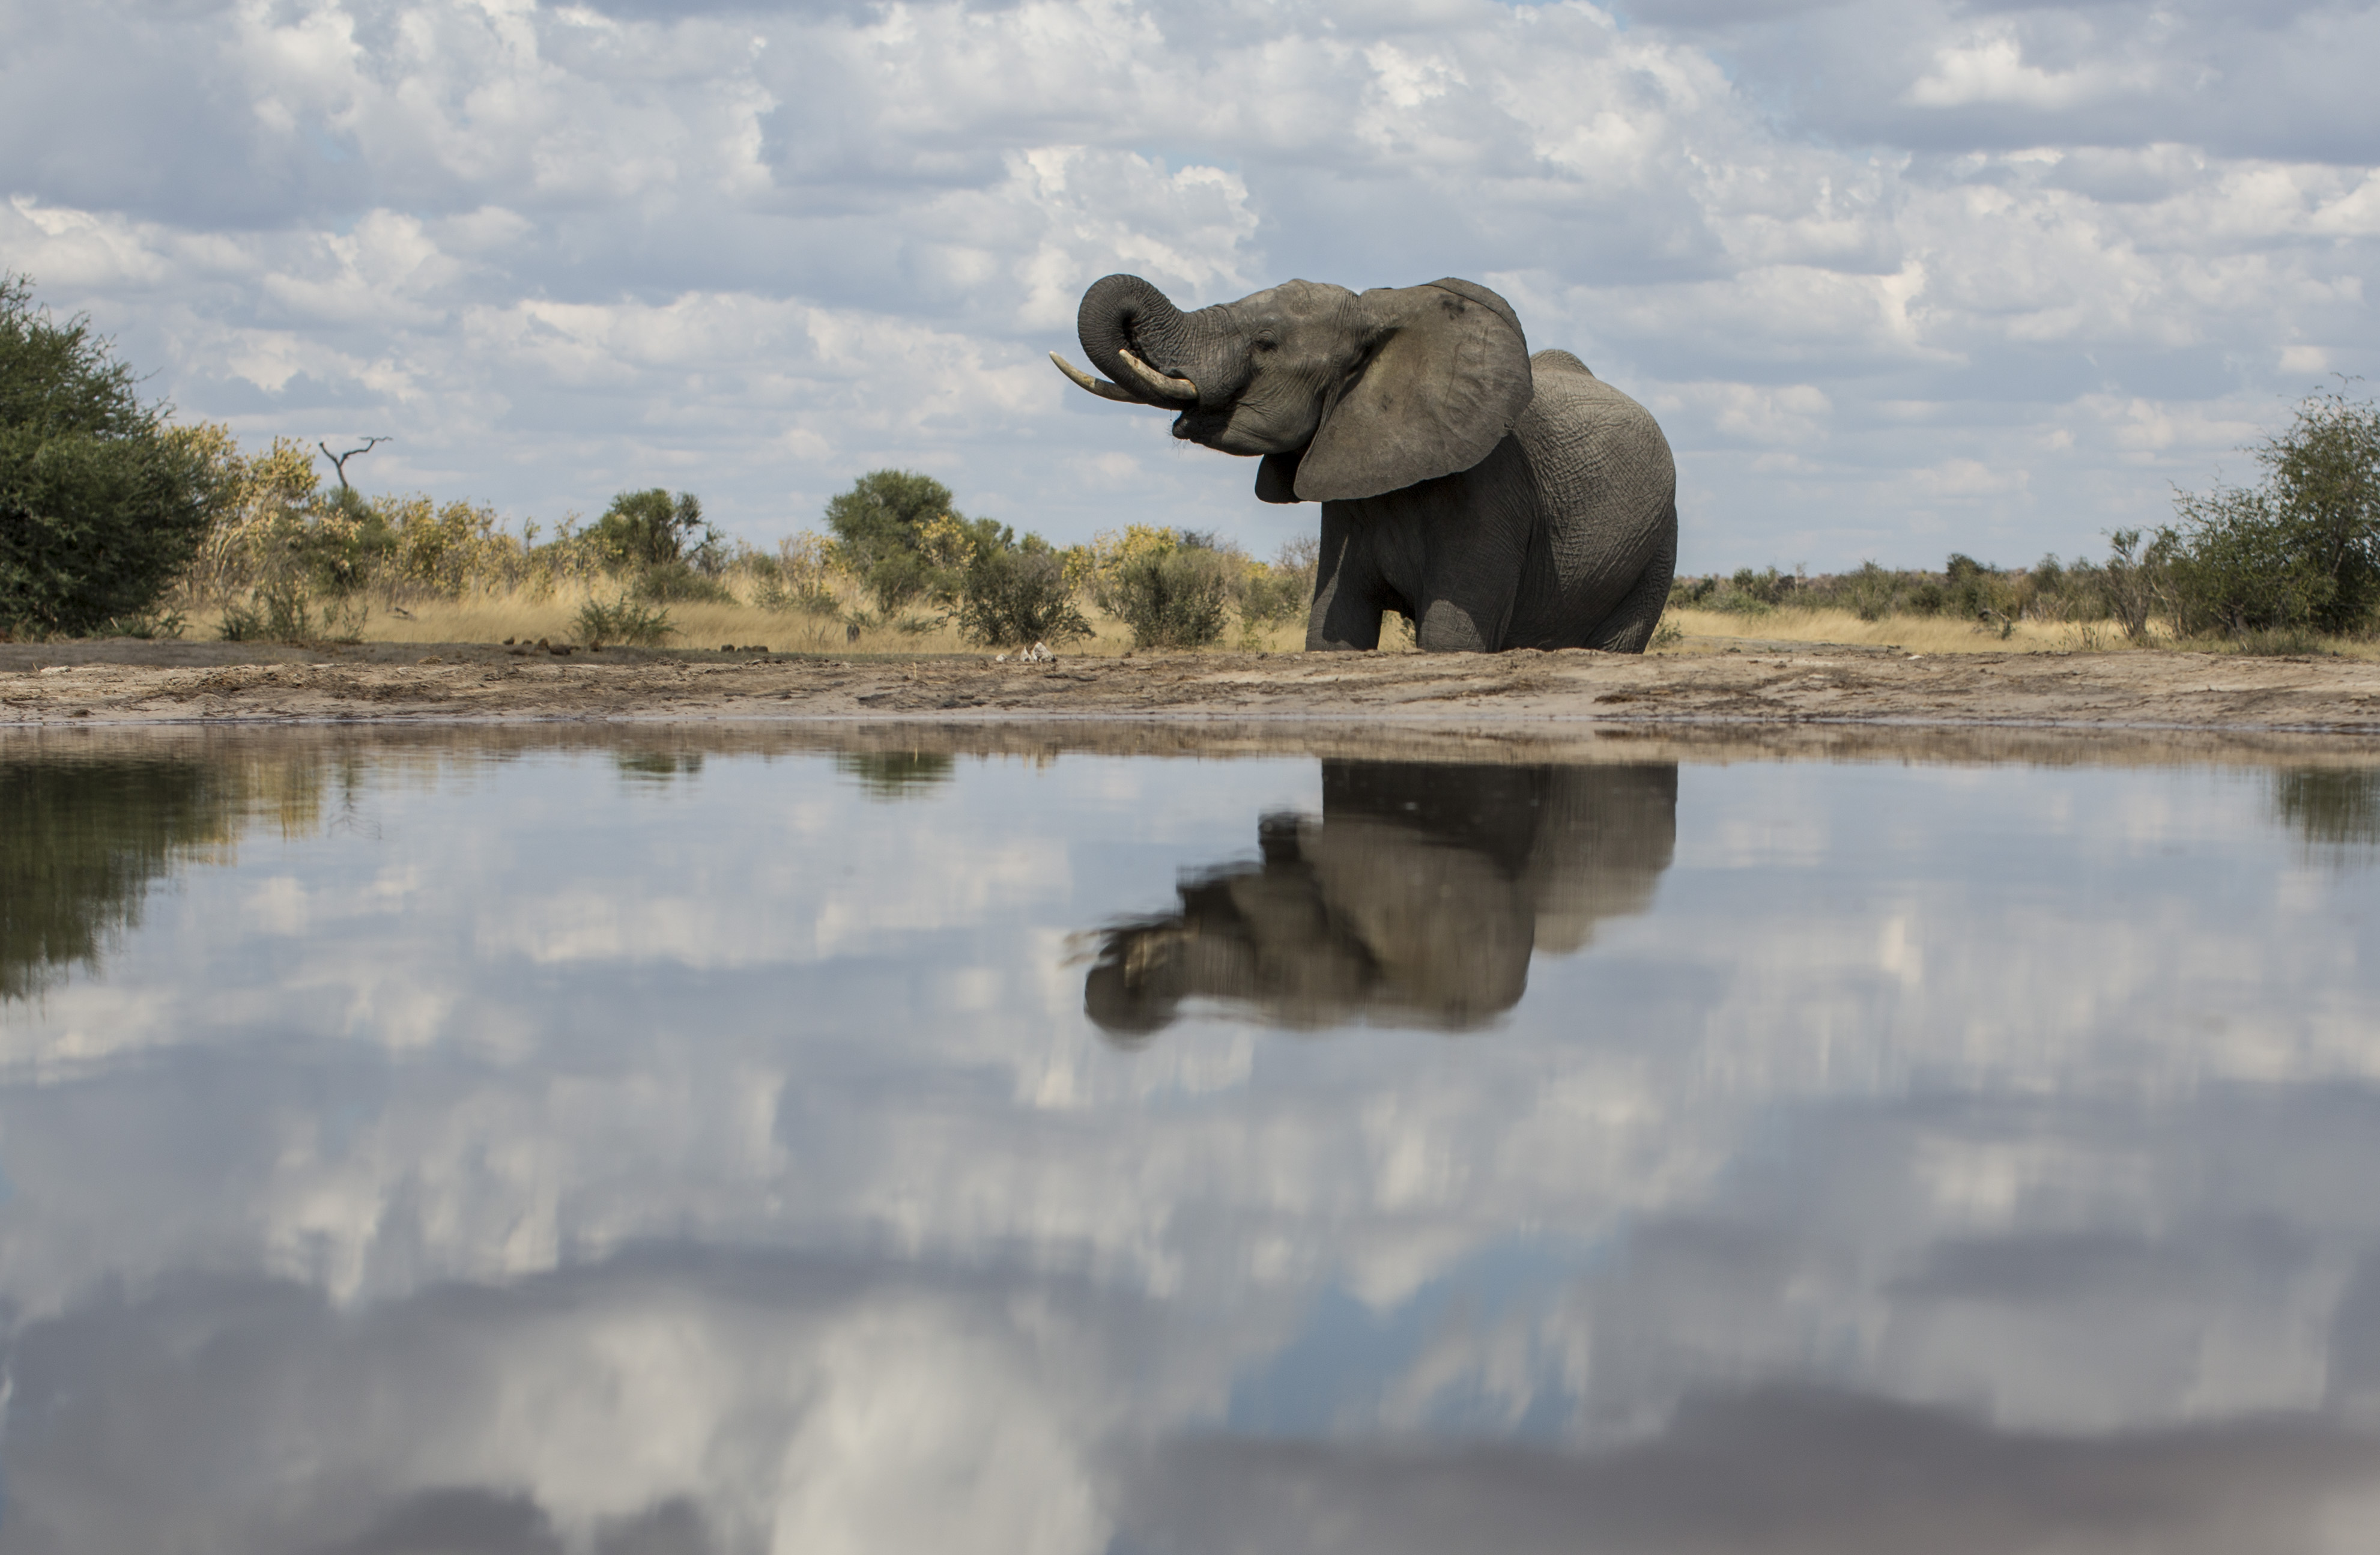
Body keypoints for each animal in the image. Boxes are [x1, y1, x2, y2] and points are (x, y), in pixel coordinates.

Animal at [1052, 272, 1685, 647]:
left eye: (1265, 344)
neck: (1378, 317)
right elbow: (1333, 630)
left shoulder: (1493, 490)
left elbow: (1450, 638)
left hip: (1657, 545)